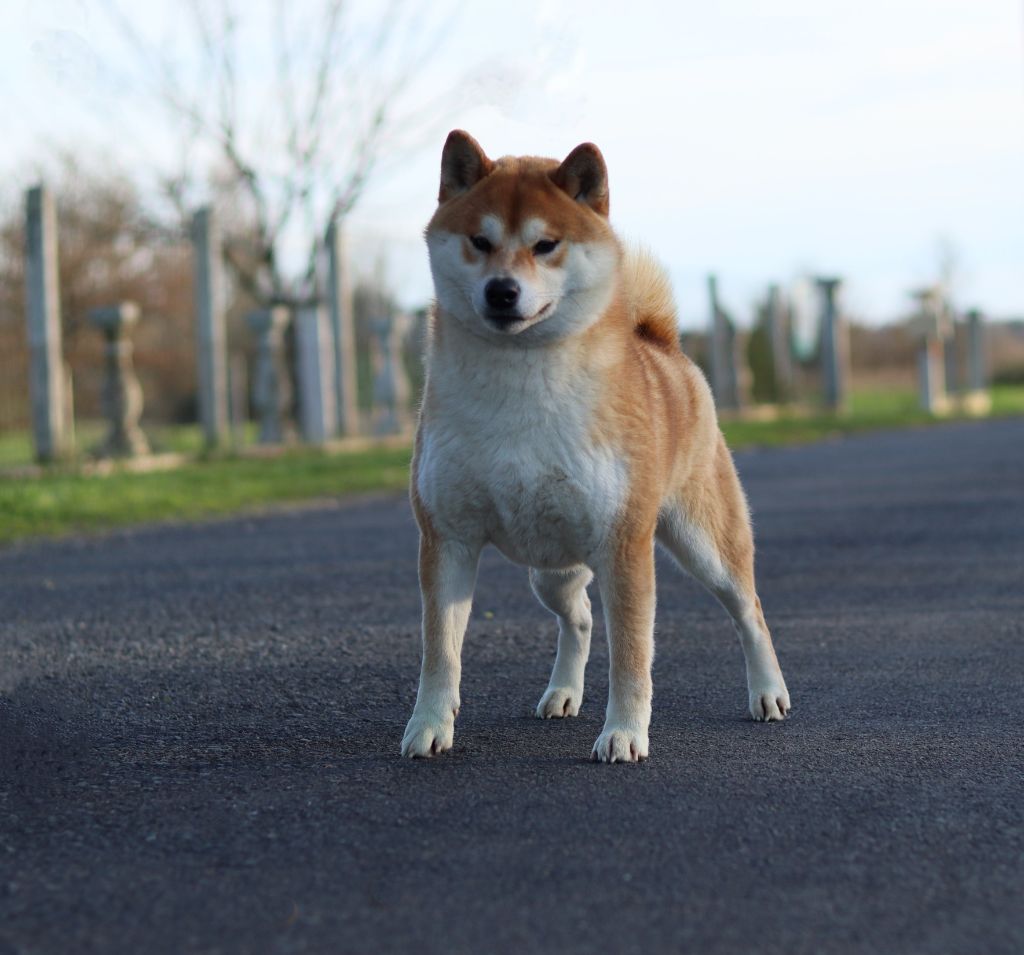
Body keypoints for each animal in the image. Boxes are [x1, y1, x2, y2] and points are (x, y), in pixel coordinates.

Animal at [401, 130, 790, 765]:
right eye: (480, 241)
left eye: (546, 245)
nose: (502, 291)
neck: (521, 387)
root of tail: (662, 345)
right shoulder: (447, 539)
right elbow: (441, 653)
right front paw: (430, 725)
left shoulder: (624, 546)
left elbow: (632, 657)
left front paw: (625, 734)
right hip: (551, 570)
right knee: (579, 619)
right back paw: (563, 692)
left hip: (703, 542)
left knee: (748, 611)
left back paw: (768, 693)